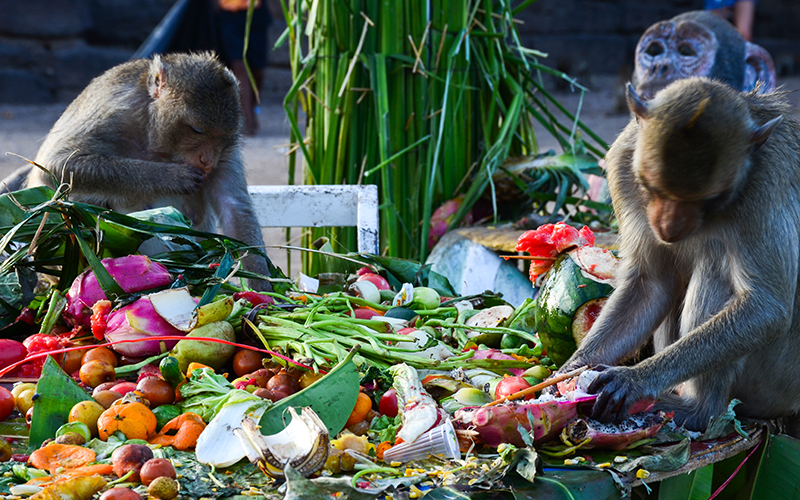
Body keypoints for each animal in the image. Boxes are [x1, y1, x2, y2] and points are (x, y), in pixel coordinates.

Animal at [1, 52, 274, 292]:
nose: (207, 161)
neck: (156, 137)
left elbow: (234, 207)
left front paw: (265, 293)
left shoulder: (227, 149)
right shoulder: (116, 110)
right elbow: (56, 165)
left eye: (221, 138)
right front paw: (172, 177)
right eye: (197, 130)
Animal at [556, 76, 800, 436]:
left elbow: (766, 307)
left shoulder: (764, 187)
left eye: (709, 198)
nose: (669, 227)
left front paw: (636, 380)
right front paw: (570, 371)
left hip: (777, 382)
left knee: (716, 265)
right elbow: (651, 284)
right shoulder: (622, 164)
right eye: (652, 187)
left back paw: (698, 410)